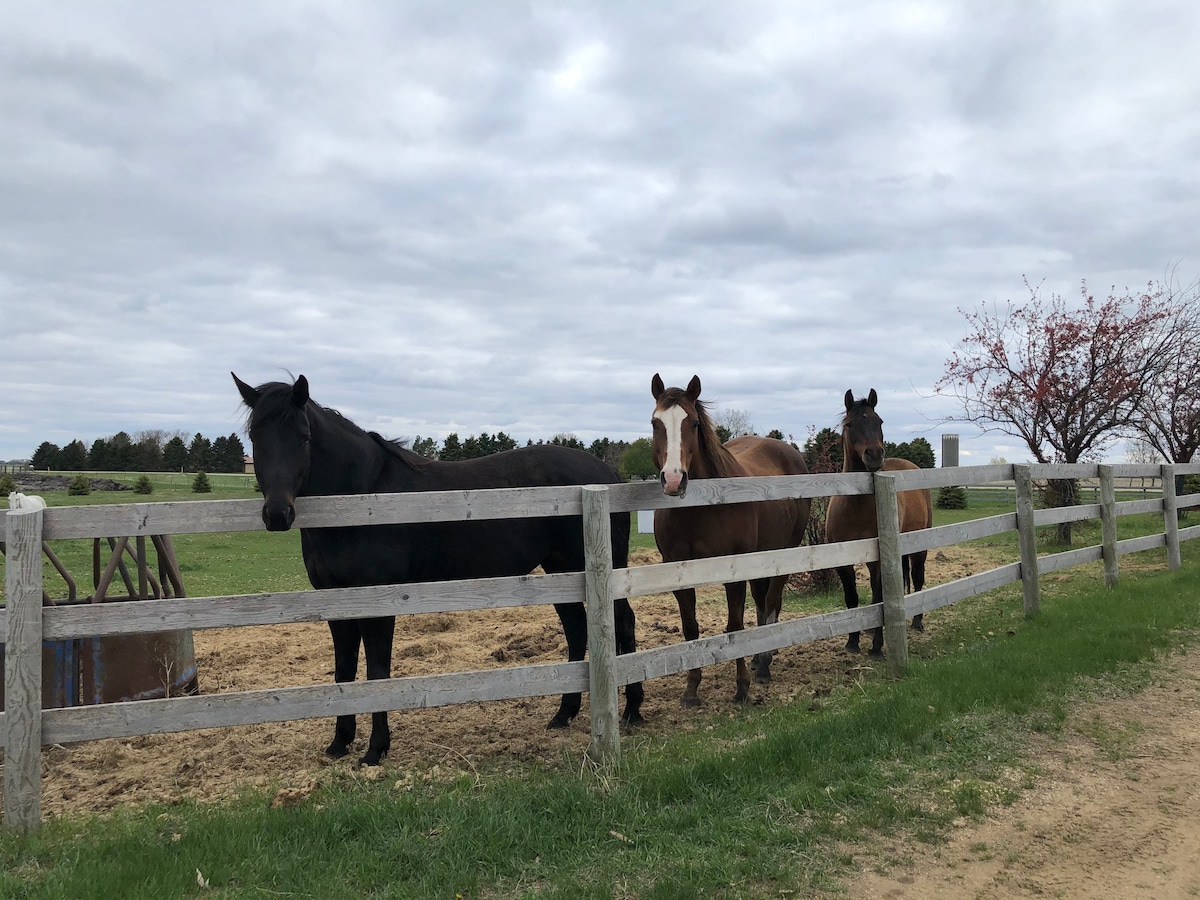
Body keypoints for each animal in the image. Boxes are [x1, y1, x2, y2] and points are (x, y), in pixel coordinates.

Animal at [236, 374, 648, 768]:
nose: (277, 514)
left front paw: (375, 750)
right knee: (577, 630)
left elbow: (377, 672)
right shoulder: (336, 604)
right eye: (255, 436)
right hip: (561, 572)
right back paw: (564, 713)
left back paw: (631, 709)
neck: (362, 499)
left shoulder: (379, 605)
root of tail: (607, 472)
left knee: (623, 623)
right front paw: (340, 743)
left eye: (304, 437)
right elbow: (344, 672)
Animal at [652, 376, 811, 710]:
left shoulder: (733, 573)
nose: (673, 479)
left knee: (772, 600)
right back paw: (758, 658)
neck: (700, 509)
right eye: (655, 423)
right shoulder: (678, 574)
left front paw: (741, 688)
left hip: (783, 553)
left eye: (694, 423)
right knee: (762, 602)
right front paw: (691, 689)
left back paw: (763, 665)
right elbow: (690, 628)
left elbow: (735, 625)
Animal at [830, 388, 931, 657]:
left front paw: (876, 646)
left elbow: (877, 596)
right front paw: (852, 641)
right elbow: (852, 598)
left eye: (879, 422)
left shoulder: (876, 560)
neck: (855, 506)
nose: (874, 455)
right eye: (850, 424)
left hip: (920, 546)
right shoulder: (842, 562)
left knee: (918, 578)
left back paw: (917, 622)